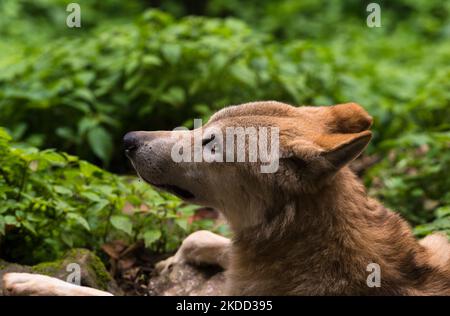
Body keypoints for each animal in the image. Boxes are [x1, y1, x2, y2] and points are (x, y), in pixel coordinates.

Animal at [3, 100, 450, 294]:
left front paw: (26, 280)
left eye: (213, 145)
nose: (129, 139)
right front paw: (173, 260)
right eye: (203, 126)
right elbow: (199, 237)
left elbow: (89, 293)